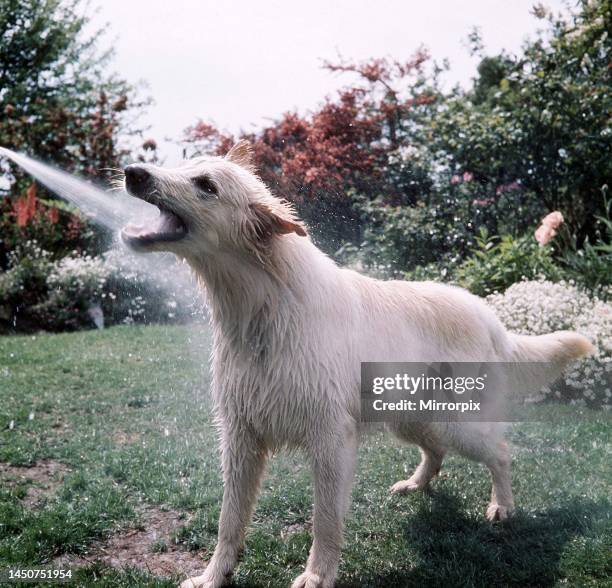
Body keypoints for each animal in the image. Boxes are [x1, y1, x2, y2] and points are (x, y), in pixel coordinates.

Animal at [119, 142, 592, 588]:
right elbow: (228, 521)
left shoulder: (331, 442)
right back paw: (417, 484)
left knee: (501, 453)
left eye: (206, 184)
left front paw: (317, 575)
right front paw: (213, 576)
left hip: (460, 425)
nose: (132, 172)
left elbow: (325, 522)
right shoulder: (241, 440)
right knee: (436, 450)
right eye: (183, 167)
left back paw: (502, 505)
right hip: (411, 418)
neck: (266, 307)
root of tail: (486, 312)